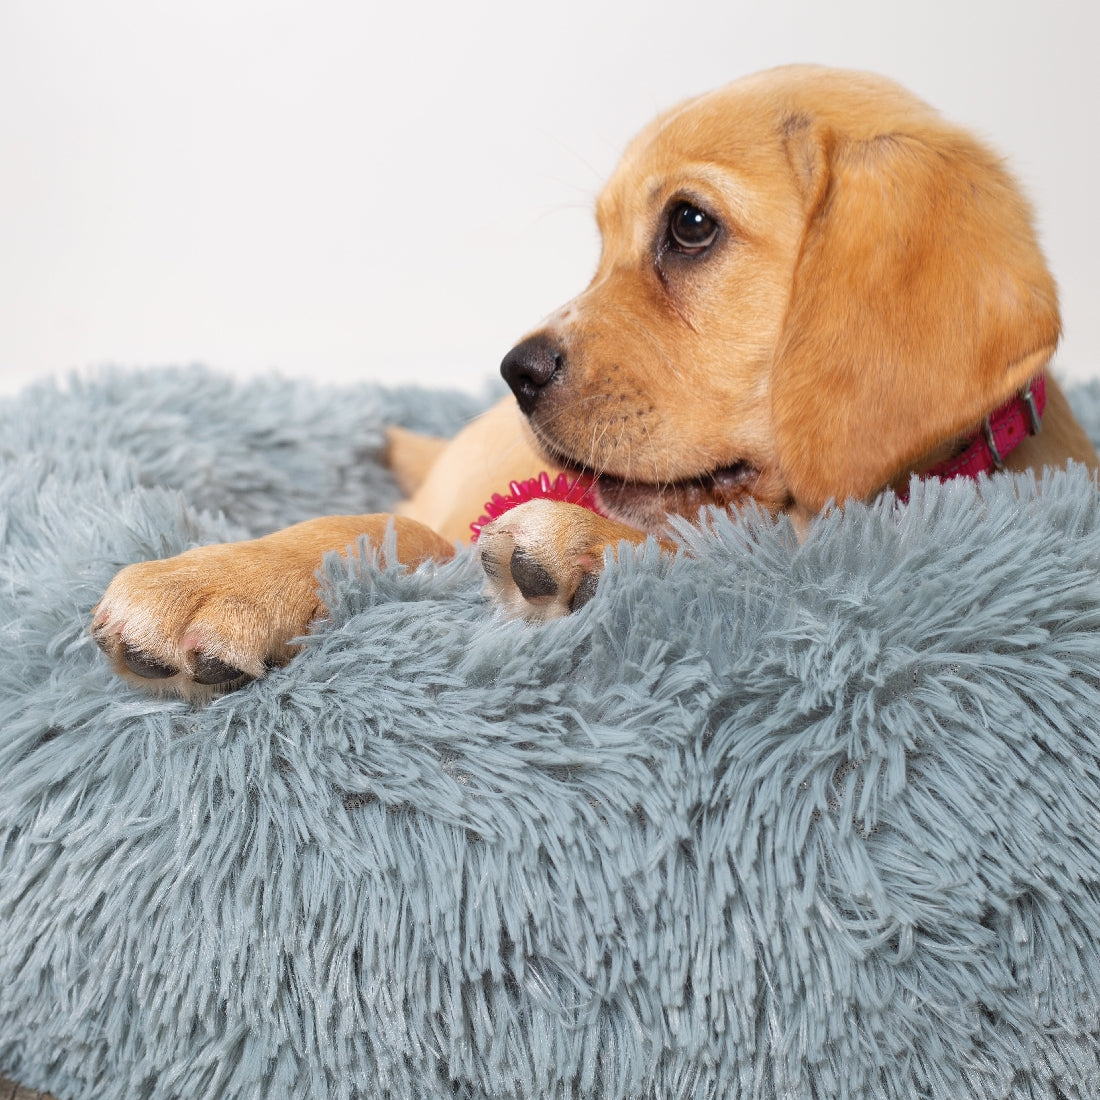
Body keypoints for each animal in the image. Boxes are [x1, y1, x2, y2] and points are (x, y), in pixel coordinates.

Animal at [94, 66, 1100, 704]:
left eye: (690, 226)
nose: (516, 371)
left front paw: (587, 550)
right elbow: (390, 530)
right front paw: (221, 579)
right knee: (411, 517)